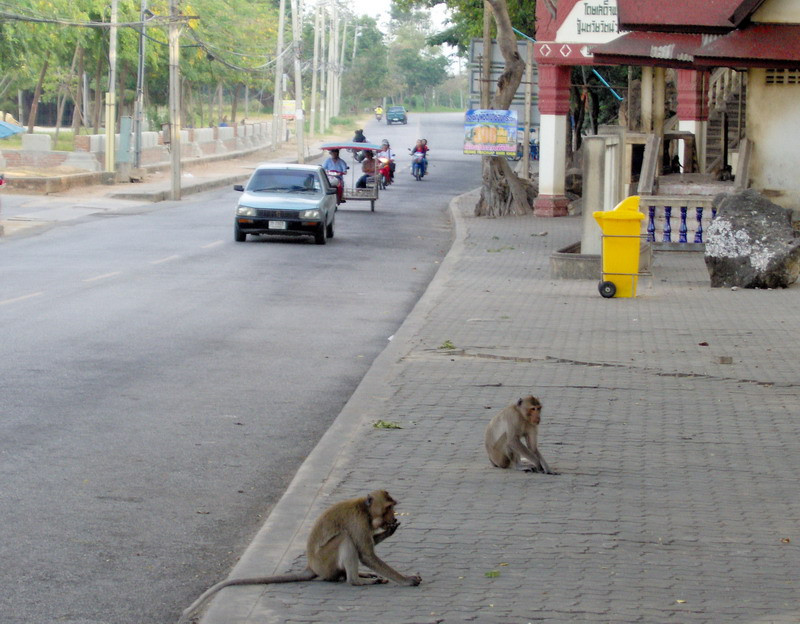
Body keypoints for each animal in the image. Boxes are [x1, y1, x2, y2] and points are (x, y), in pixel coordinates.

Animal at [179, 490, 422, 620]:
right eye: (388, 507)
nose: (393, 516)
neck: (365, 510)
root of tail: (312, 566)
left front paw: (388, 532)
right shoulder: (358, 522)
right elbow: (366, 554)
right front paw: (407, 580)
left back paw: (358, 576)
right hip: (326, 561)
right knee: (345, 539)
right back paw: (355, 581)